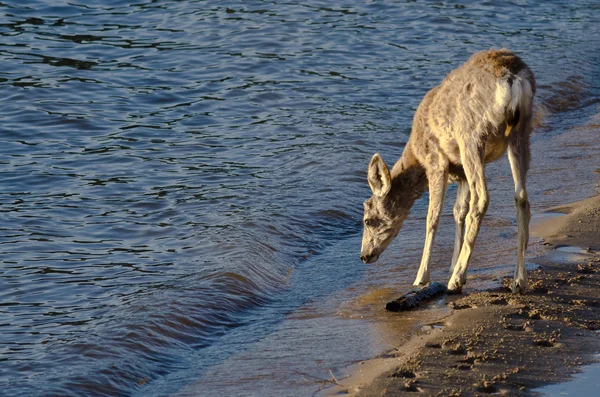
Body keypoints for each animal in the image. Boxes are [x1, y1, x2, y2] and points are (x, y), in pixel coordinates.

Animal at [358, 48, 536, 292]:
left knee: (482, 198)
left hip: (470, 136)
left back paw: (456, 281)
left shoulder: (436, 161)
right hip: (521, 131)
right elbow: (458, 210)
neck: (416, 152)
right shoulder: (460, 172)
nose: (364, 255)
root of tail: (512, 78)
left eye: (367, 220)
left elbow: (432, 217)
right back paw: (519, 279)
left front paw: (422, 277)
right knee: (521, 197)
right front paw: (453, 263)